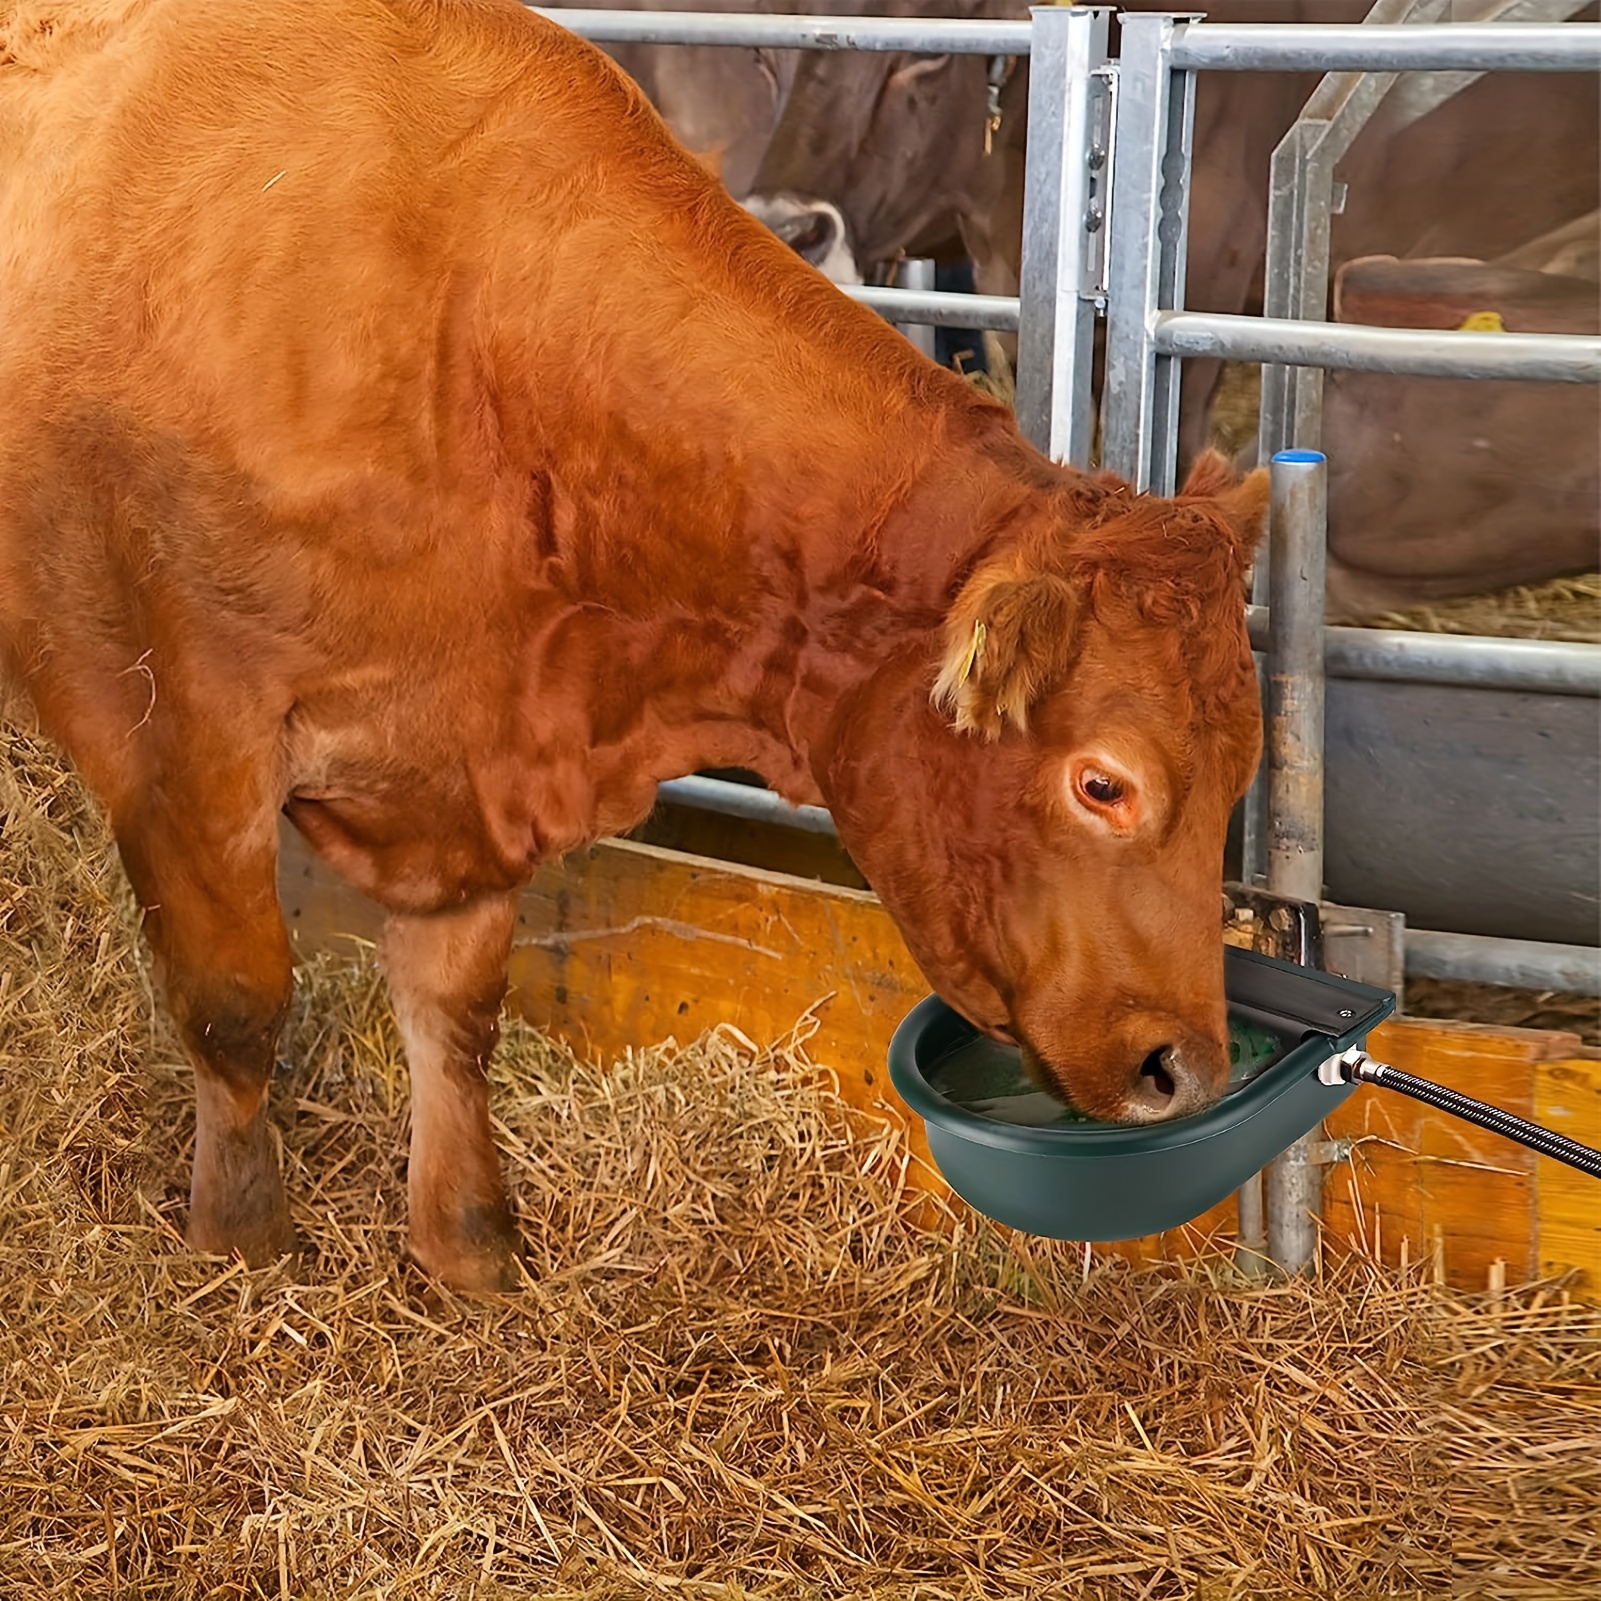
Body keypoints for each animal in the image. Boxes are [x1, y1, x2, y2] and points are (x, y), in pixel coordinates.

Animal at [6, 0, 1267, 1293]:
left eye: (1243, 771)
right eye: (1102, 782)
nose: (1185, 1068)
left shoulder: (470, 763)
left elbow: (454, 1008)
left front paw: (468, 1243)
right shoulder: (184, 738)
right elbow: (237, 1001)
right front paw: (241, 1240)